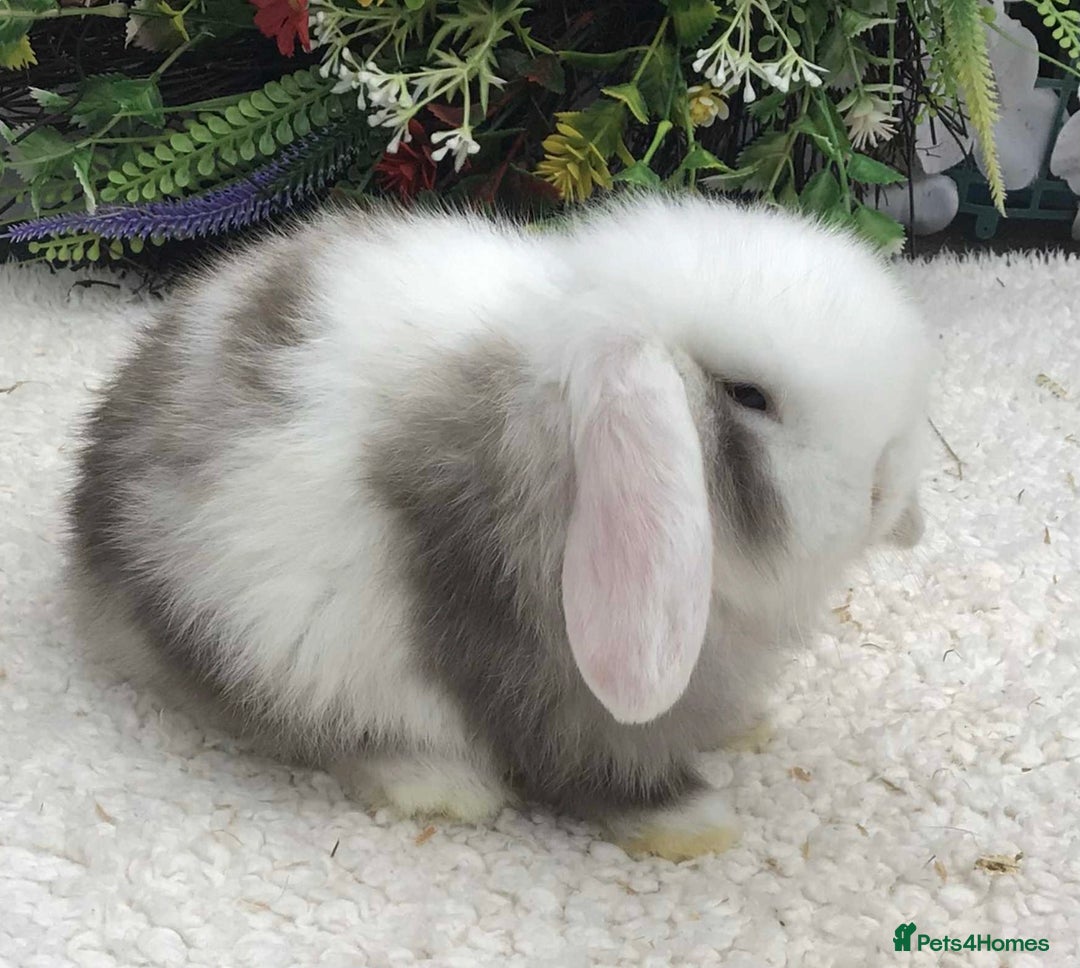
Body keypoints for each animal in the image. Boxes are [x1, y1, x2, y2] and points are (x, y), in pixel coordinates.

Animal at [67, 194, 932, 860]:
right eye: (747, 395)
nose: (885, 487)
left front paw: (745, 728)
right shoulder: (537, 663)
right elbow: (591, 759)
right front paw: (692, 824)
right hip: (269, 636)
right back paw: (441, 787)